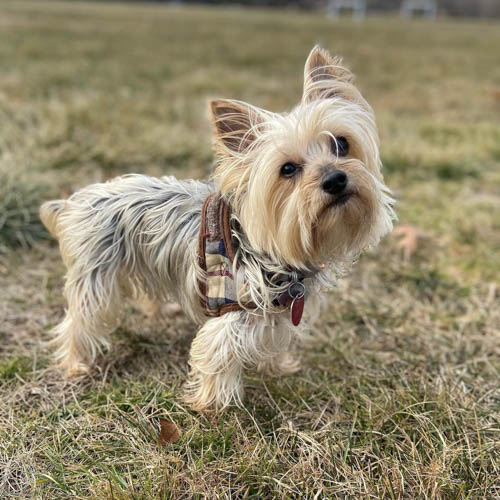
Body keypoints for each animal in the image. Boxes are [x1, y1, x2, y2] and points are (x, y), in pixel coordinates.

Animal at [41, 46, 396, 410]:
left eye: (341, 144)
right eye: (287, 169)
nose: (336, 179)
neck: (268, 247)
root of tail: (77, 201)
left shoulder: (277, 311)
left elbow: (273, 338)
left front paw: (277, 366)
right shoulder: (231, 313)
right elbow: (218, 355)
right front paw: (212, 406)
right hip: (96, 278)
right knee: (79, 321)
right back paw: (75, 364)